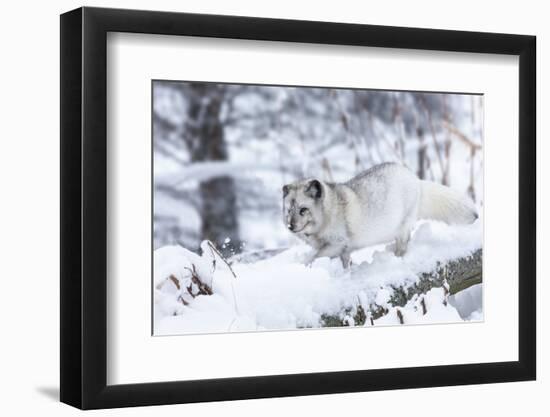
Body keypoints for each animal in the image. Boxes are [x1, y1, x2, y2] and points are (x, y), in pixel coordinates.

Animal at [284, 161, 478, 264]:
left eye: (303, 210)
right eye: (288, 210)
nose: (290, 226)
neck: (329, 213)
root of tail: (415, 179)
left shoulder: (337, 244)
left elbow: (314, 257)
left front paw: (303, 266)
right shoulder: (343, 251)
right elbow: (346, 264)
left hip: (402, 228)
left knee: (403, 245)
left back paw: (398, 258)